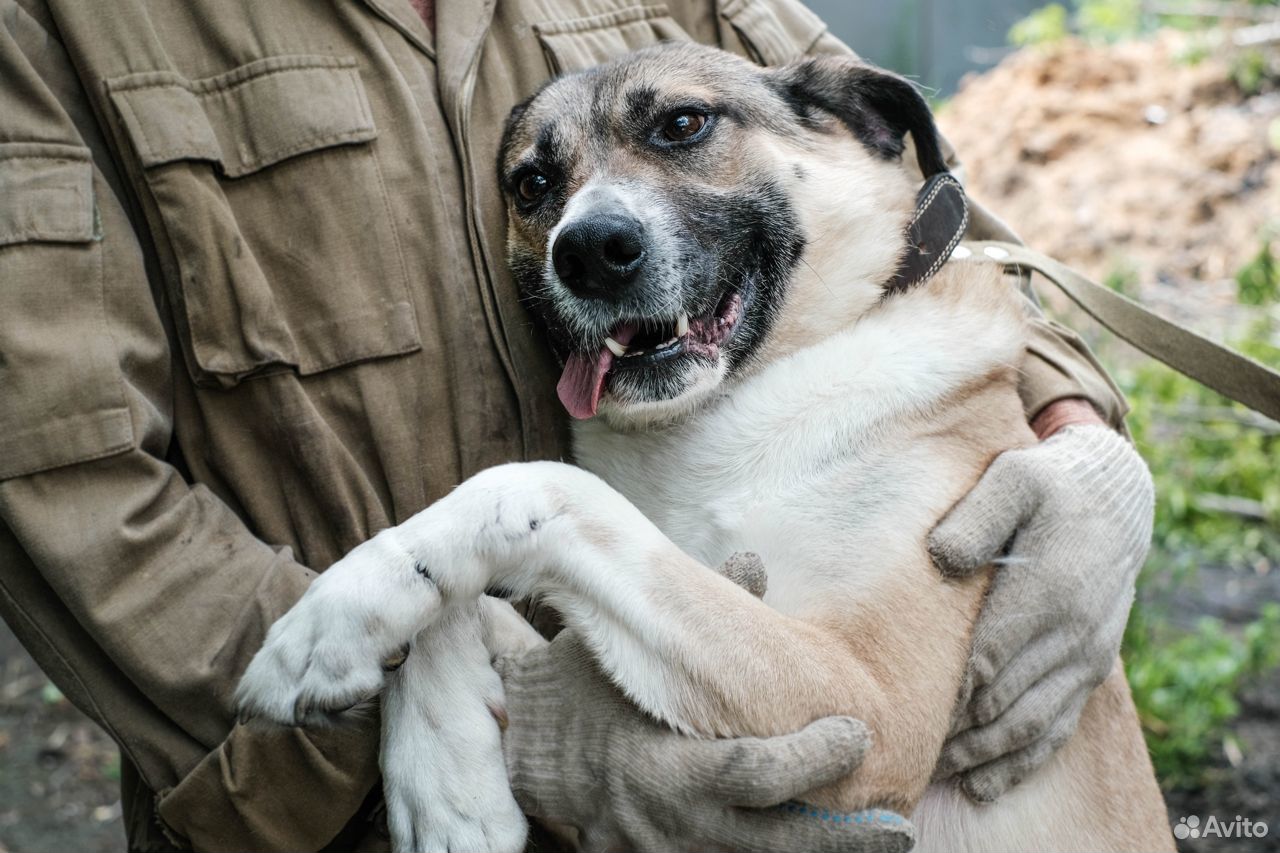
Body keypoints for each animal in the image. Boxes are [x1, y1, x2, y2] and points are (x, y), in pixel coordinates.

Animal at [235, 41, 1172, 850]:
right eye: (533, 182)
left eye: (682, 124)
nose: (590, 252)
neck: (733, 406)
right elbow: (480, 582)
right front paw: (443, 772)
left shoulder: (872, 706)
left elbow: (535, 491)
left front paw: (338, 612)